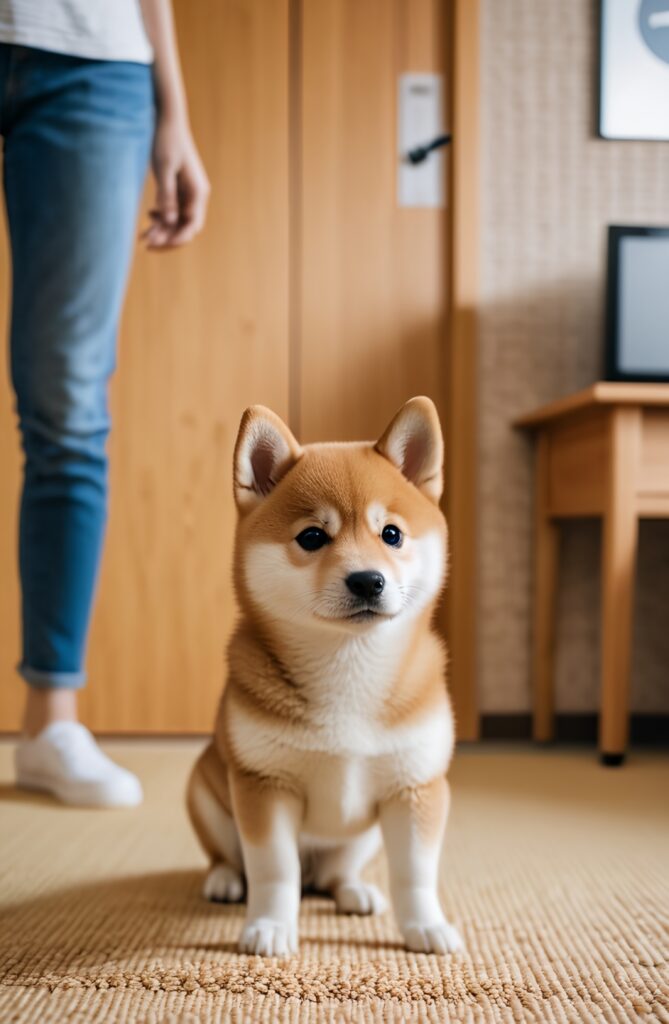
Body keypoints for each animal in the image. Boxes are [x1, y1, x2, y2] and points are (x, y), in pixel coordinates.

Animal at [185, 395, 461, 954]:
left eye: (391, 534)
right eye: (312, 537)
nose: (367, 580)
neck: (348, 667)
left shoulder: (416, 786)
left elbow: (415, 874)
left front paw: (425, 925)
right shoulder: (264, 786)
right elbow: (274, 873)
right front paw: (271, 926)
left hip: (361, 837)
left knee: (333, 874)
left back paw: (353, 891)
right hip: (207, 793)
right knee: (236, 858)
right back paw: (223, 880)